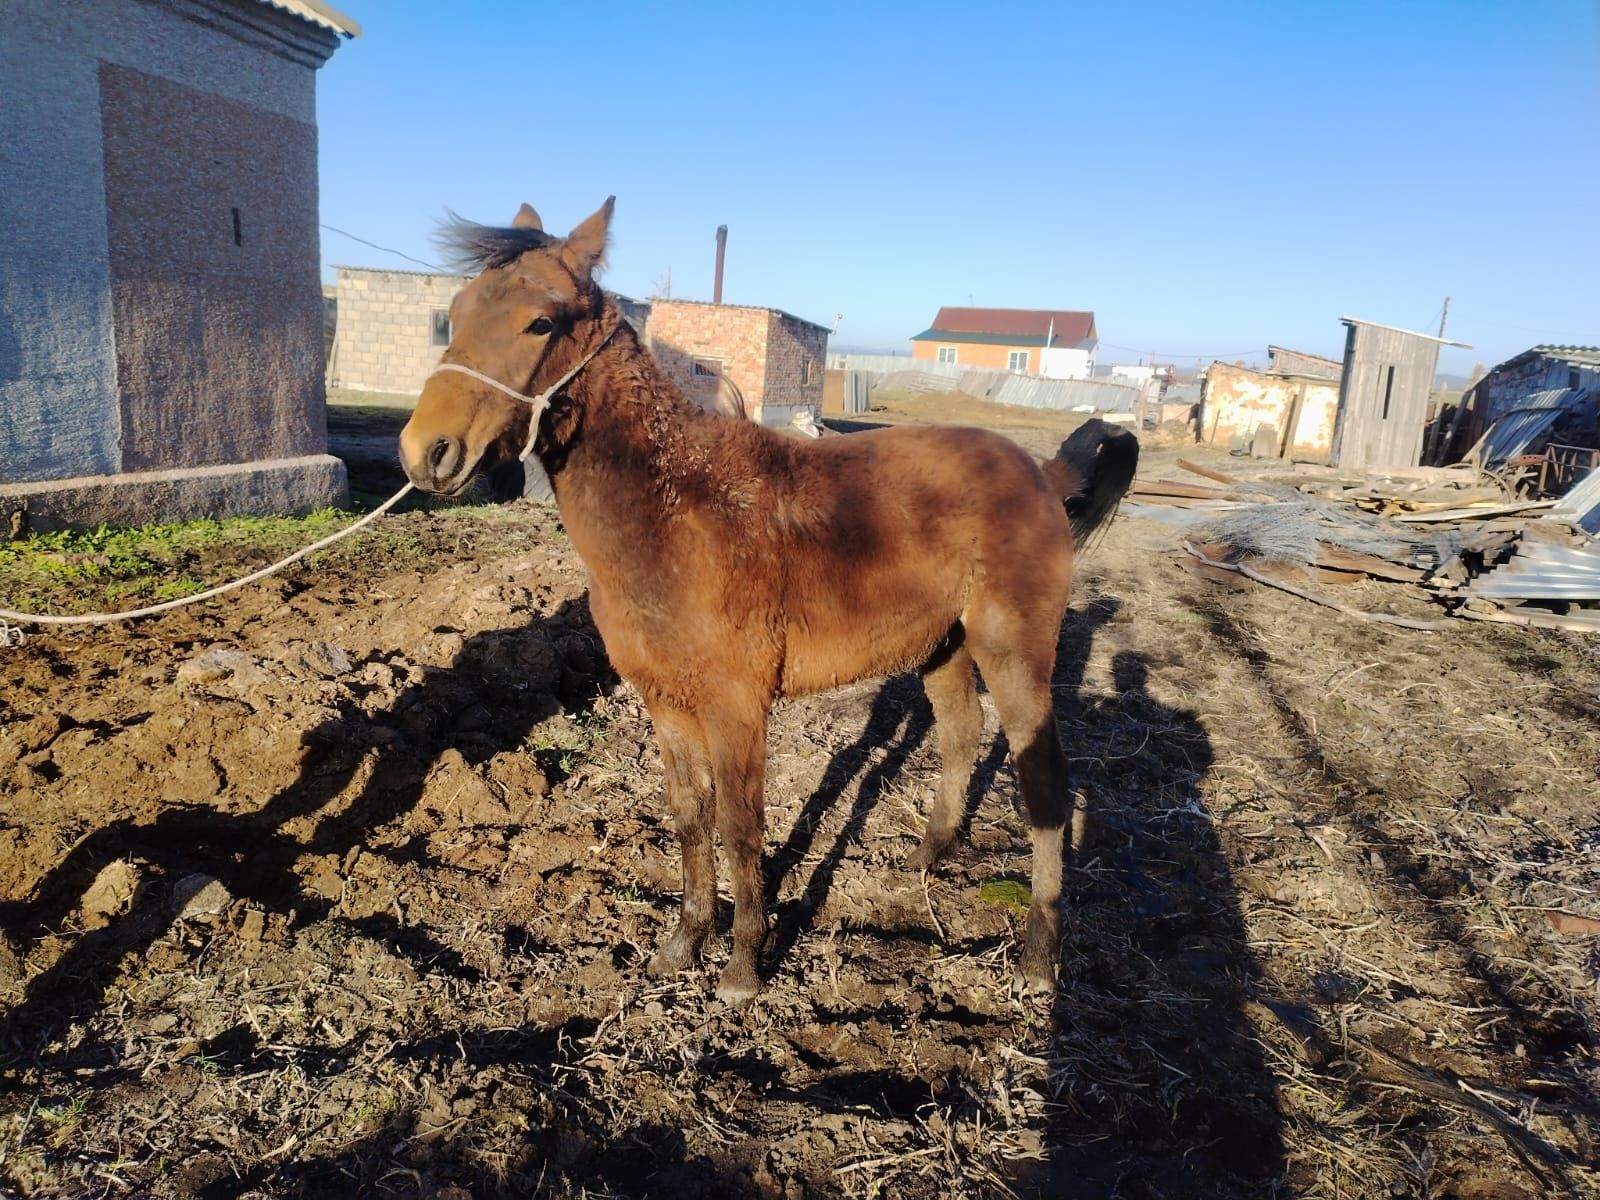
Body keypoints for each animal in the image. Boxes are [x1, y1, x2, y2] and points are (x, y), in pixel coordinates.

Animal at [398, 200, 1139, 1004]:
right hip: (942, 646)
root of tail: (1041, 472)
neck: (677, 512)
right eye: (455, 313)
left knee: (1045, 782)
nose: (425, 453)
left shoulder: (737, 704)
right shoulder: (665, 701)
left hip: (1013, 651)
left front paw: (743, 967)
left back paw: (1038, 956)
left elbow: (740, 825)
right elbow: (690, 817)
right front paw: (685, 942)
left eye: (540, 322)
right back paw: (927, 857)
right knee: (959, 735)